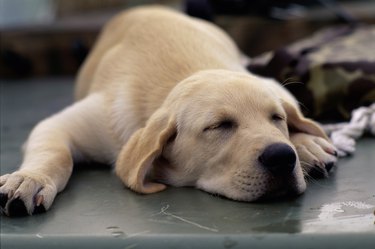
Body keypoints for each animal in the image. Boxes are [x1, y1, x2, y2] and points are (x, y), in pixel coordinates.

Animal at [0, 6, 338, 216]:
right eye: (218, 126)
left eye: (276, 119)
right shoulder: (73, 122)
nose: (282, 157)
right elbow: (56, 152)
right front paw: (29, 178)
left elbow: (299, 121)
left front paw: (304, 142)